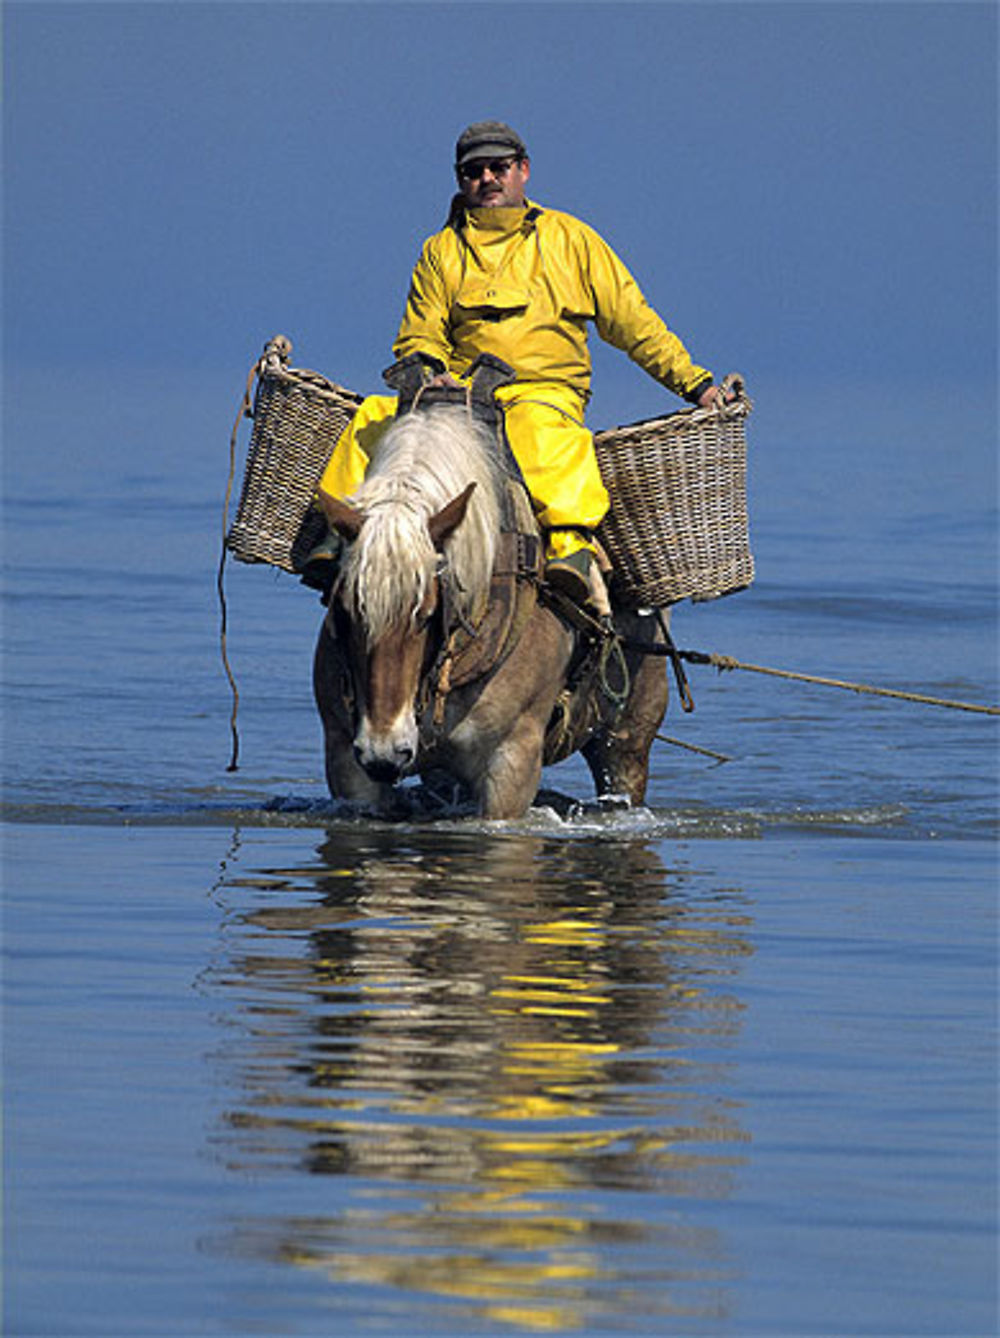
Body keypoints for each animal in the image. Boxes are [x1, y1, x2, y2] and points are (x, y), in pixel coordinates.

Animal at [314, 390, 672, 818]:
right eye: (345, 610)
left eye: (428, 614)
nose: (384, 752)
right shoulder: (348, 762)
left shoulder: (511, 764)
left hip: (627, 742)